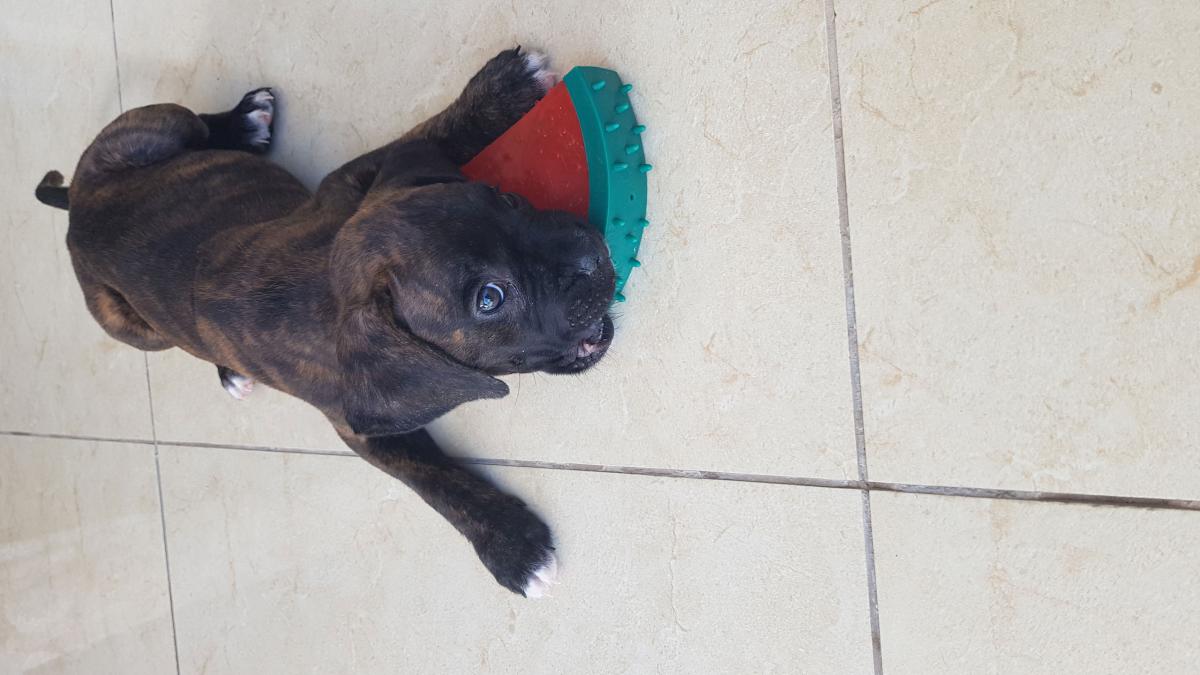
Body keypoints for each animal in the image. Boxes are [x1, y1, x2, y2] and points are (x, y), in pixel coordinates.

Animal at [34, 48, 617, 598]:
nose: (593, 253)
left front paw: (499, 91)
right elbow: (430, 479)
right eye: (490, 299)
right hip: (130, 323)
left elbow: (429, 132)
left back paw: (244, 123)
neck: (331, 290)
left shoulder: (358, 184)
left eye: (509, 198)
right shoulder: (358, 427)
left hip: (156, 129)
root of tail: (76, 207)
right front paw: (511, 546)